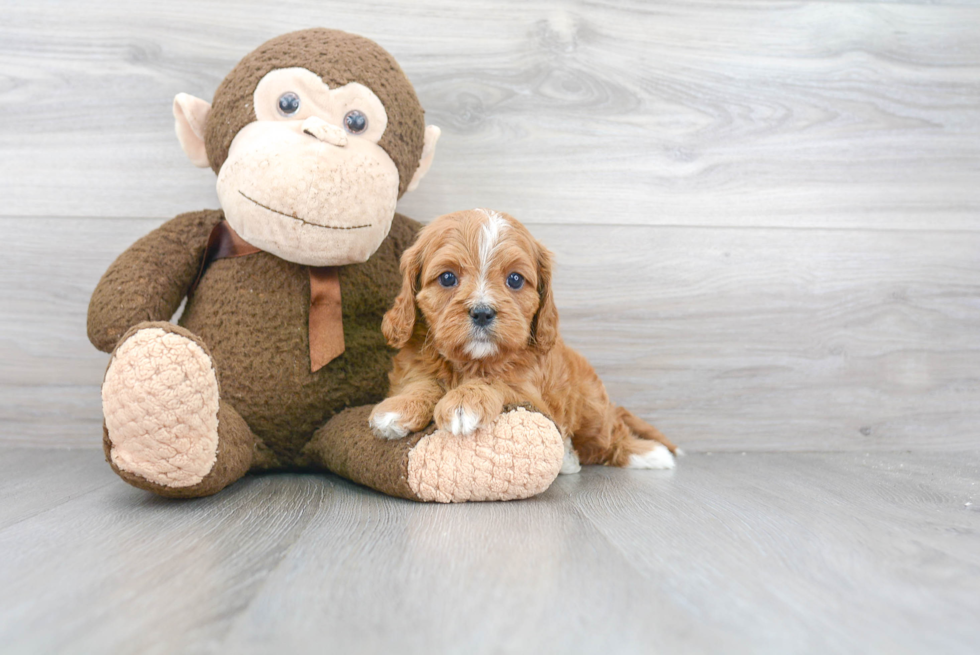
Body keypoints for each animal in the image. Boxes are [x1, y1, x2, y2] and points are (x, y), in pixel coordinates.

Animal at [372, 210, 676, 472]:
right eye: (447, 277)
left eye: (515, 280)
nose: (482, 312)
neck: (472, 362)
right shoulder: (413, 365)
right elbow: (422, 382)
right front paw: (399, 408)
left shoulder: (530, 392)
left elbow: (494, 380)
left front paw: (465, 401)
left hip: (592, 408)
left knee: (609, 436)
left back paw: (649, 454)